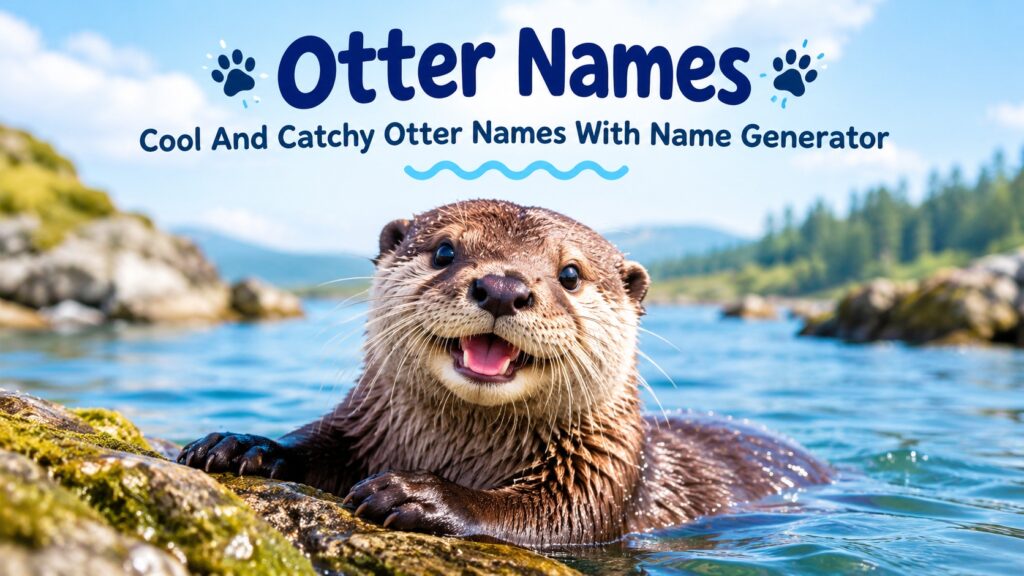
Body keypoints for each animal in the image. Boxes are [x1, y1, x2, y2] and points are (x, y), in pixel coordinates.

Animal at [179, 199, 830, 547]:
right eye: (444, 251)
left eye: (570, 274)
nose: (501, 285)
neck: (460, 451)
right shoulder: (361, 425)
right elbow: (317, 441)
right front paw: (241, 445)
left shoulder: (602, 477)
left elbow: (551, 518)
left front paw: (416, 494)